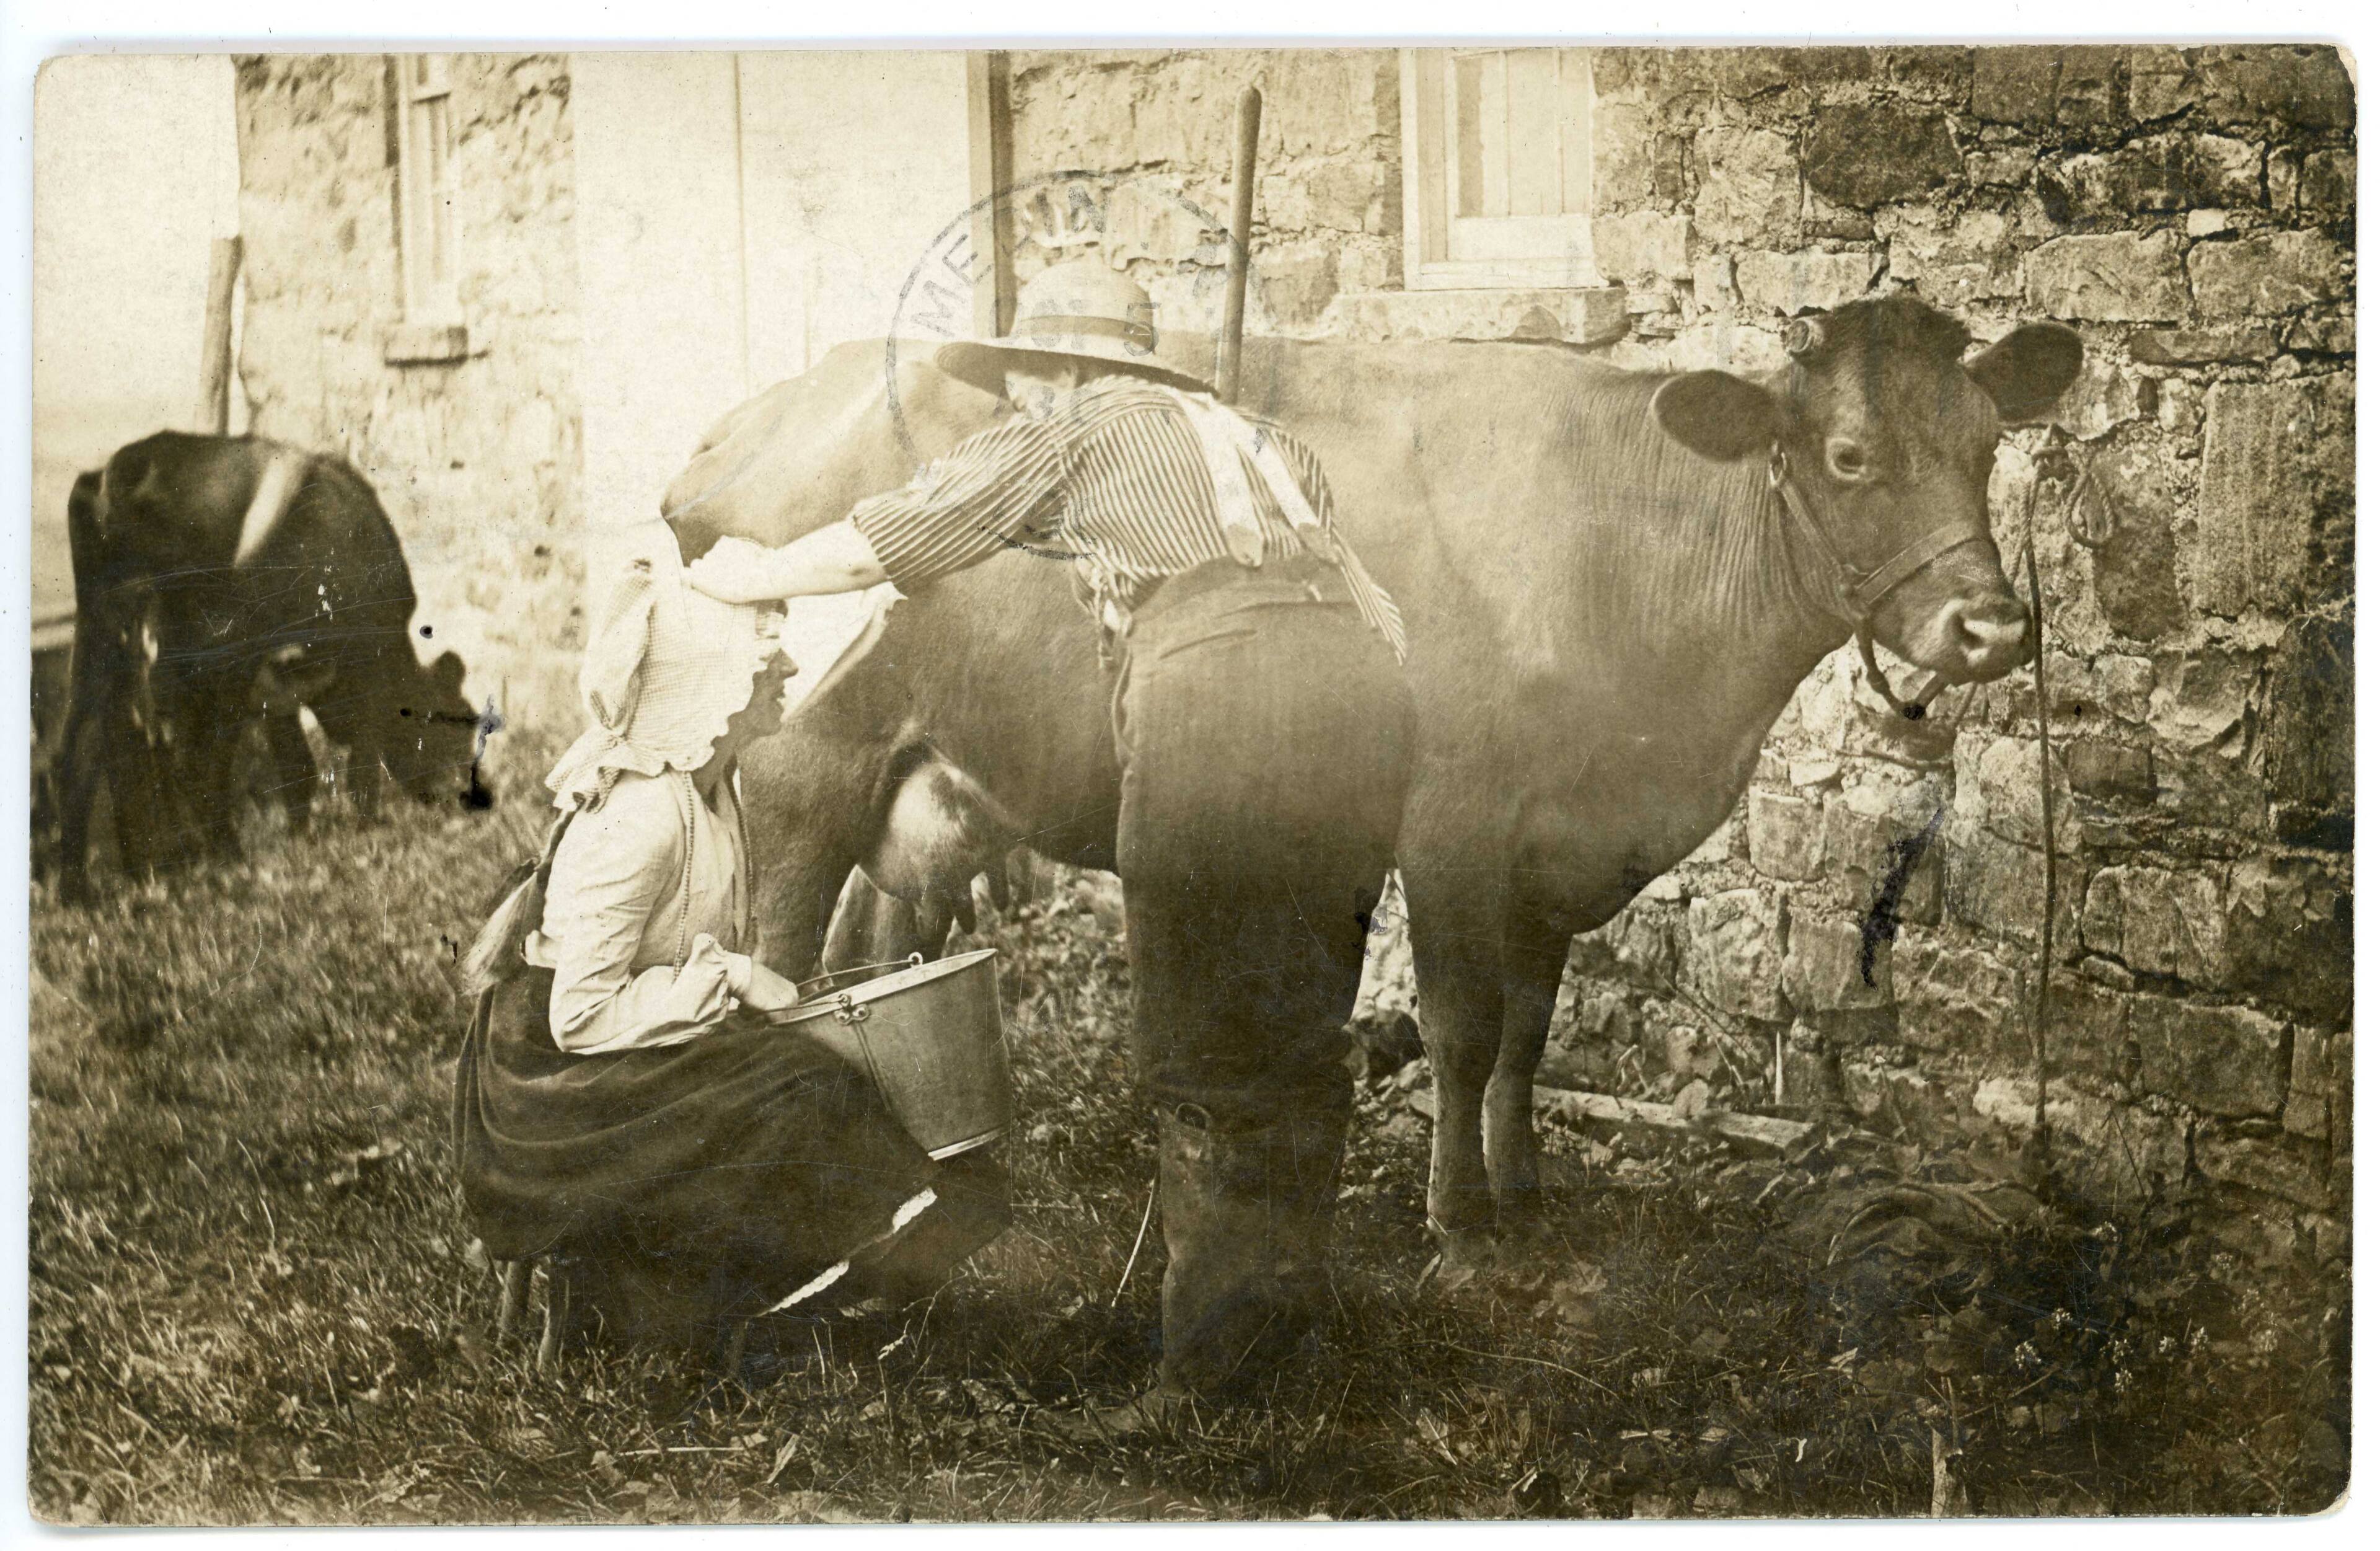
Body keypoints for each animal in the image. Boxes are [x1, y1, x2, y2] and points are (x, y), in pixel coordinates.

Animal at [49, 432, 491, 901]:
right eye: (448, 726)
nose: (461, 797)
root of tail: (117, 471)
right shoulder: (357, 659)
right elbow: (360, 760)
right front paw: (370, 827)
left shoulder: (279, 692)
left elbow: (298, 767)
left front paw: (303, 839)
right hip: (209, 653)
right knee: (190, 755)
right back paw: (225, 857)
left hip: (101, 634)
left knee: (81, 752)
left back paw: (89, 889)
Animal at [664, 296, 2081, 1265]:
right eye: (1848, 458)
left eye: (1986, 445)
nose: (1991, 629)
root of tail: (754, 415)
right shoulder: (1452, 821)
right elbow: (1462, 1028)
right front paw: (1459, 1226)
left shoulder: (1554, 848)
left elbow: (1530, 1026)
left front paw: (1524, 1190)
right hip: (803, 767)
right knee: (781, 964)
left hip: (922, 780)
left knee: (879, 951)